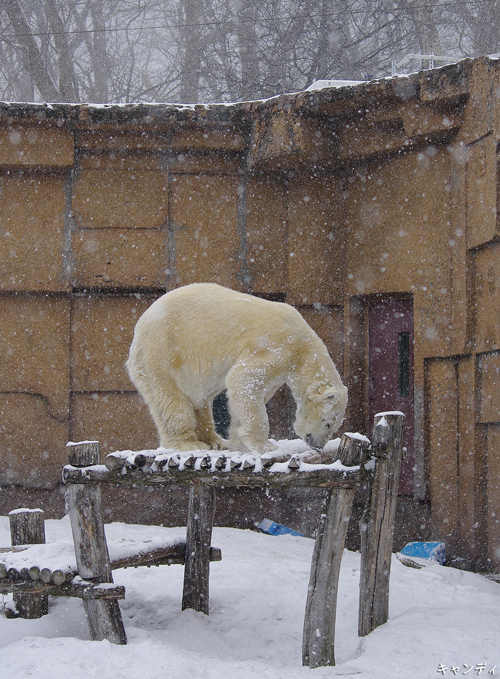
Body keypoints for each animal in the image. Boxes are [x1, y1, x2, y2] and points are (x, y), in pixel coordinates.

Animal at [126, 284, 348, 454]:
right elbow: (243, 380)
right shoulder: (275, 346)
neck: (304, 345)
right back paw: (189, 443)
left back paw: (215, 441)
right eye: (328, 422)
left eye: (334, 425)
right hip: (163, 353)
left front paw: (238, 442)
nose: (317, 445)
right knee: (171, 401)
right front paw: (265, 446)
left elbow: (252, 392)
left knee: (200, 401)